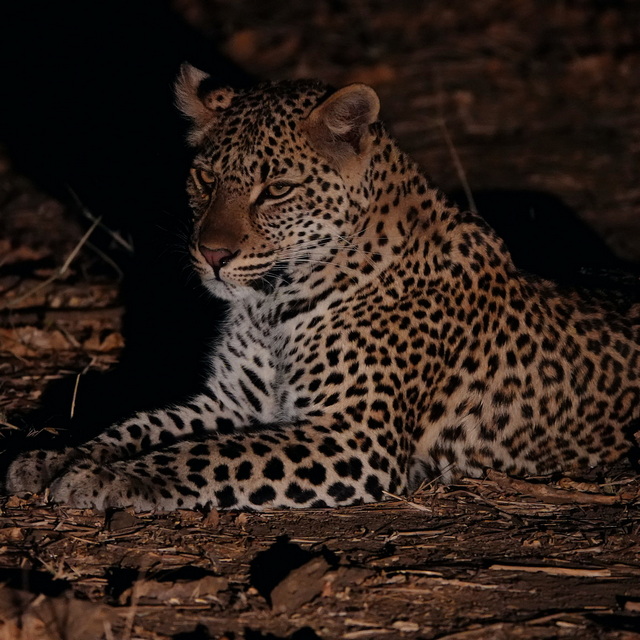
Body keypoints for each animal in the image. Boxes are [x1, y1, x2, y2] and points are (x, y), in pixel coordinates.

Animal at [5, 64, 640, 512]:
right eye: (205, 177)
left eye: (277, 190)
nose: (212, 255)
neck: (270, 304)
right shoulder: (232, 402)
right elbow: (139, 424)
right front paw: (60, 456)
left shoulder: (352, 434)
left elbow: (210, 455)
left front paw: (109, 476)